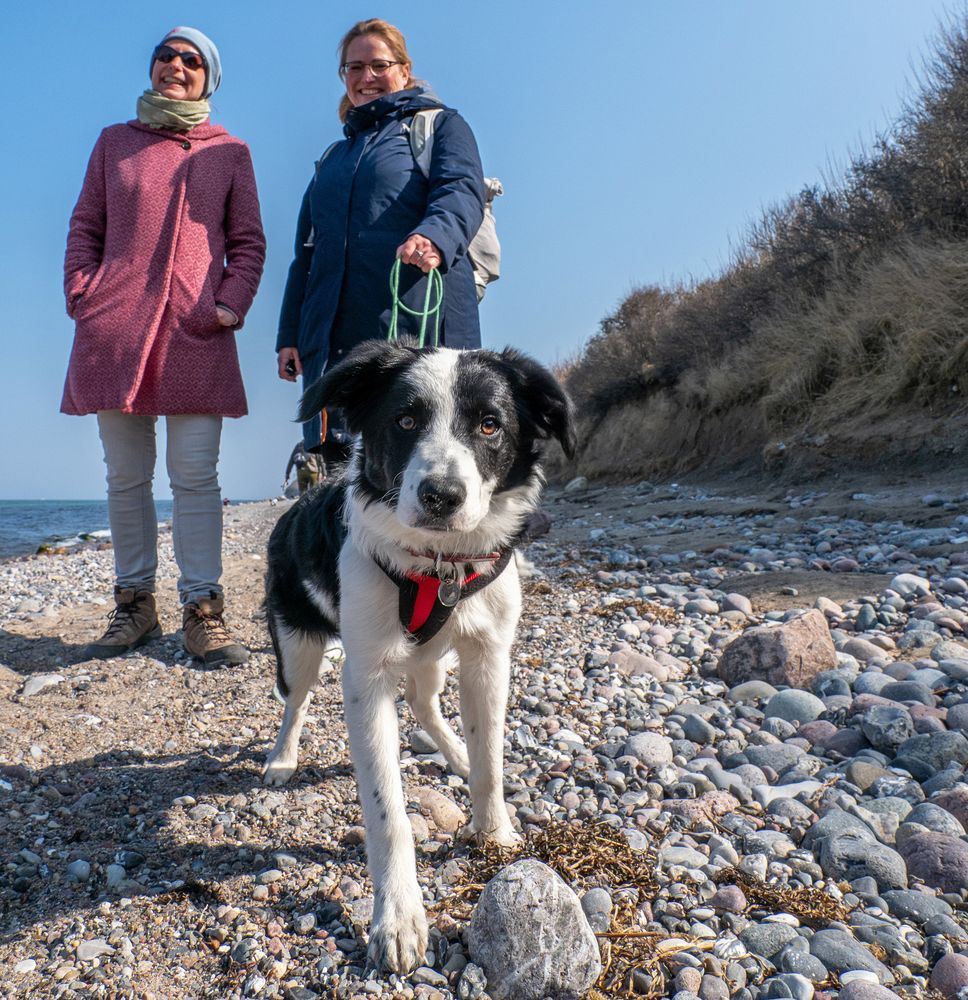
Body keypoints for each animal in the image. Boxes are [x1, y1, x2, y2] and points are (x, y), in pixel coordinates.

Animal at [262, 340, 576, 972]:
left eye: (490, 424)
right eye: (405, 420)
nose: (442, 496)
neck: (438, 565)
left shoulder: (488, 656)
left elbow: (489, 762)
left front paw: (495, 833)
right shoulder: (366, 678)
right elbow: (389, 814)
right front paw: (399, 917)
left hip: (434, 657)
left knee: (426, 703)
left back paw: (454, 753)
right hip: (299, 642)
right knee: (296, 701)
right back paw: (283, 758)